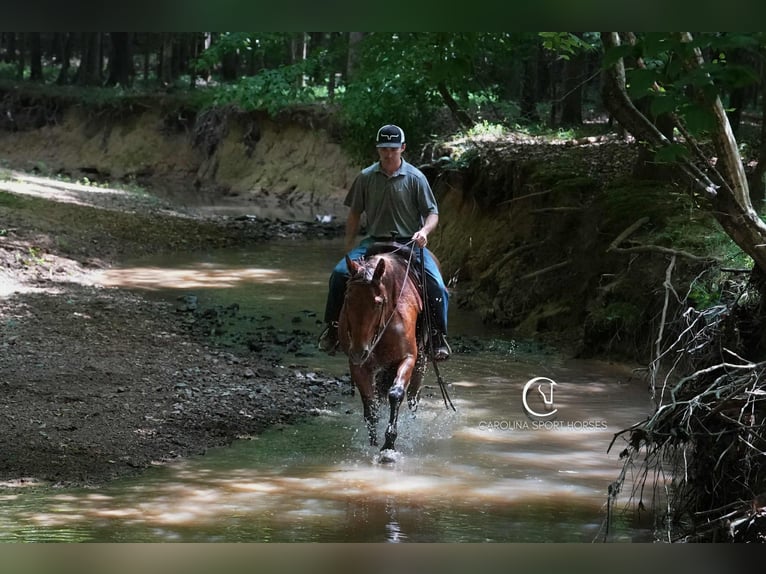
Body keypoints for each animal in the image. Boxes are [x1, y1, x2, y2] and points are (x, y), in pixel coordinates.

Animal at [337, 243, 427, 460]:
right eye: (347, 298)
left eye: (378, 302)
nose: (359, 351)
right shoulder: (358, 365)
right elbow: (371, 406)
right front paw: (373, 443)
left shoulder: (408, 358)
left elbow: (396, 394)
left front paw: (389, 445)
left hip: (420, 364)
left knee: (413, 399)